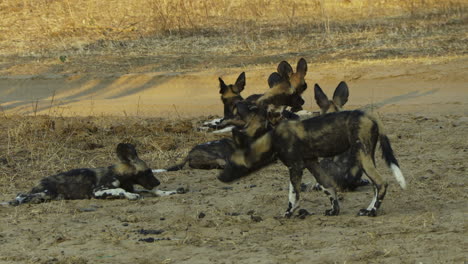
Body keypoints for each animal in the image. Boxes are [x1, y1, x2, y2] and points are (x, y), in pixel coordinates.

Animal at [8, 142, 182, 206]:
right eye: (148, 172)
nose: (158, 182)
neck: (121, 176)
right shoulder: (97, 191)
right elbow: (120, 190)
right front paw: (130, 196)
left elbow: (149, 191)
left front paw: (168, 191)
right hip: (47, 192)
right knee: (20, 194)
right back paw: (16, 201)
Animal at [219, 110, 406, 218]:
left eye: (230, 163)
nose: (219, 177)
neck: (272, 140)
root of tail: (367, 114)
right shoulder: (311, 163)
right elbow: (327, 186)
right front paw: (334, 211)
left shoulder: (295, 167)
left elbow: (293, 195)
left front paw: (287, 213)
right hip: (366, 157)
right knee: (375, 185)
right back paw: (368, 209)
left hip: (362, 156)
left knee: (381, 183)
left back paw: (372, 212)